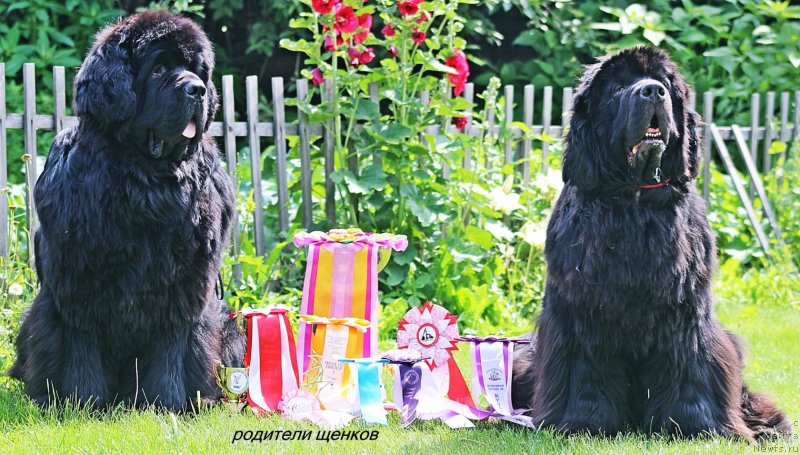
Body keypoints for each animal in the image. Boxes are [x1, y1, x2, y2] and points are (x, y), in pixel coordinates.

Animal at [10, 10, 244, 412]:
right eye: (159, 68)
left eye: (198, 70)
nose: (198, 89)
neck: (147, 181)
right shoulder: (77, 279)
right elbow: (80, 341)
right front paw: (81, 403)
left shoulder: (186, 286)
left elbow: (173, 345)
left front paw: (168, 404)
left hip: (229, 323)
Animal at [510, 46, 792, 442]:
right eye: (617, 86)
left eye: (664, 84)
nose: (653, 91)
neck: (635, 198)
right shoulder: (582, 313)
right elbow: (586, 367)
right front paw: (584, 421)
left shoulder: (686, 310)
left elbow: (691, 363)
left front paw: (696, 424)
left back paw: (768, 424)